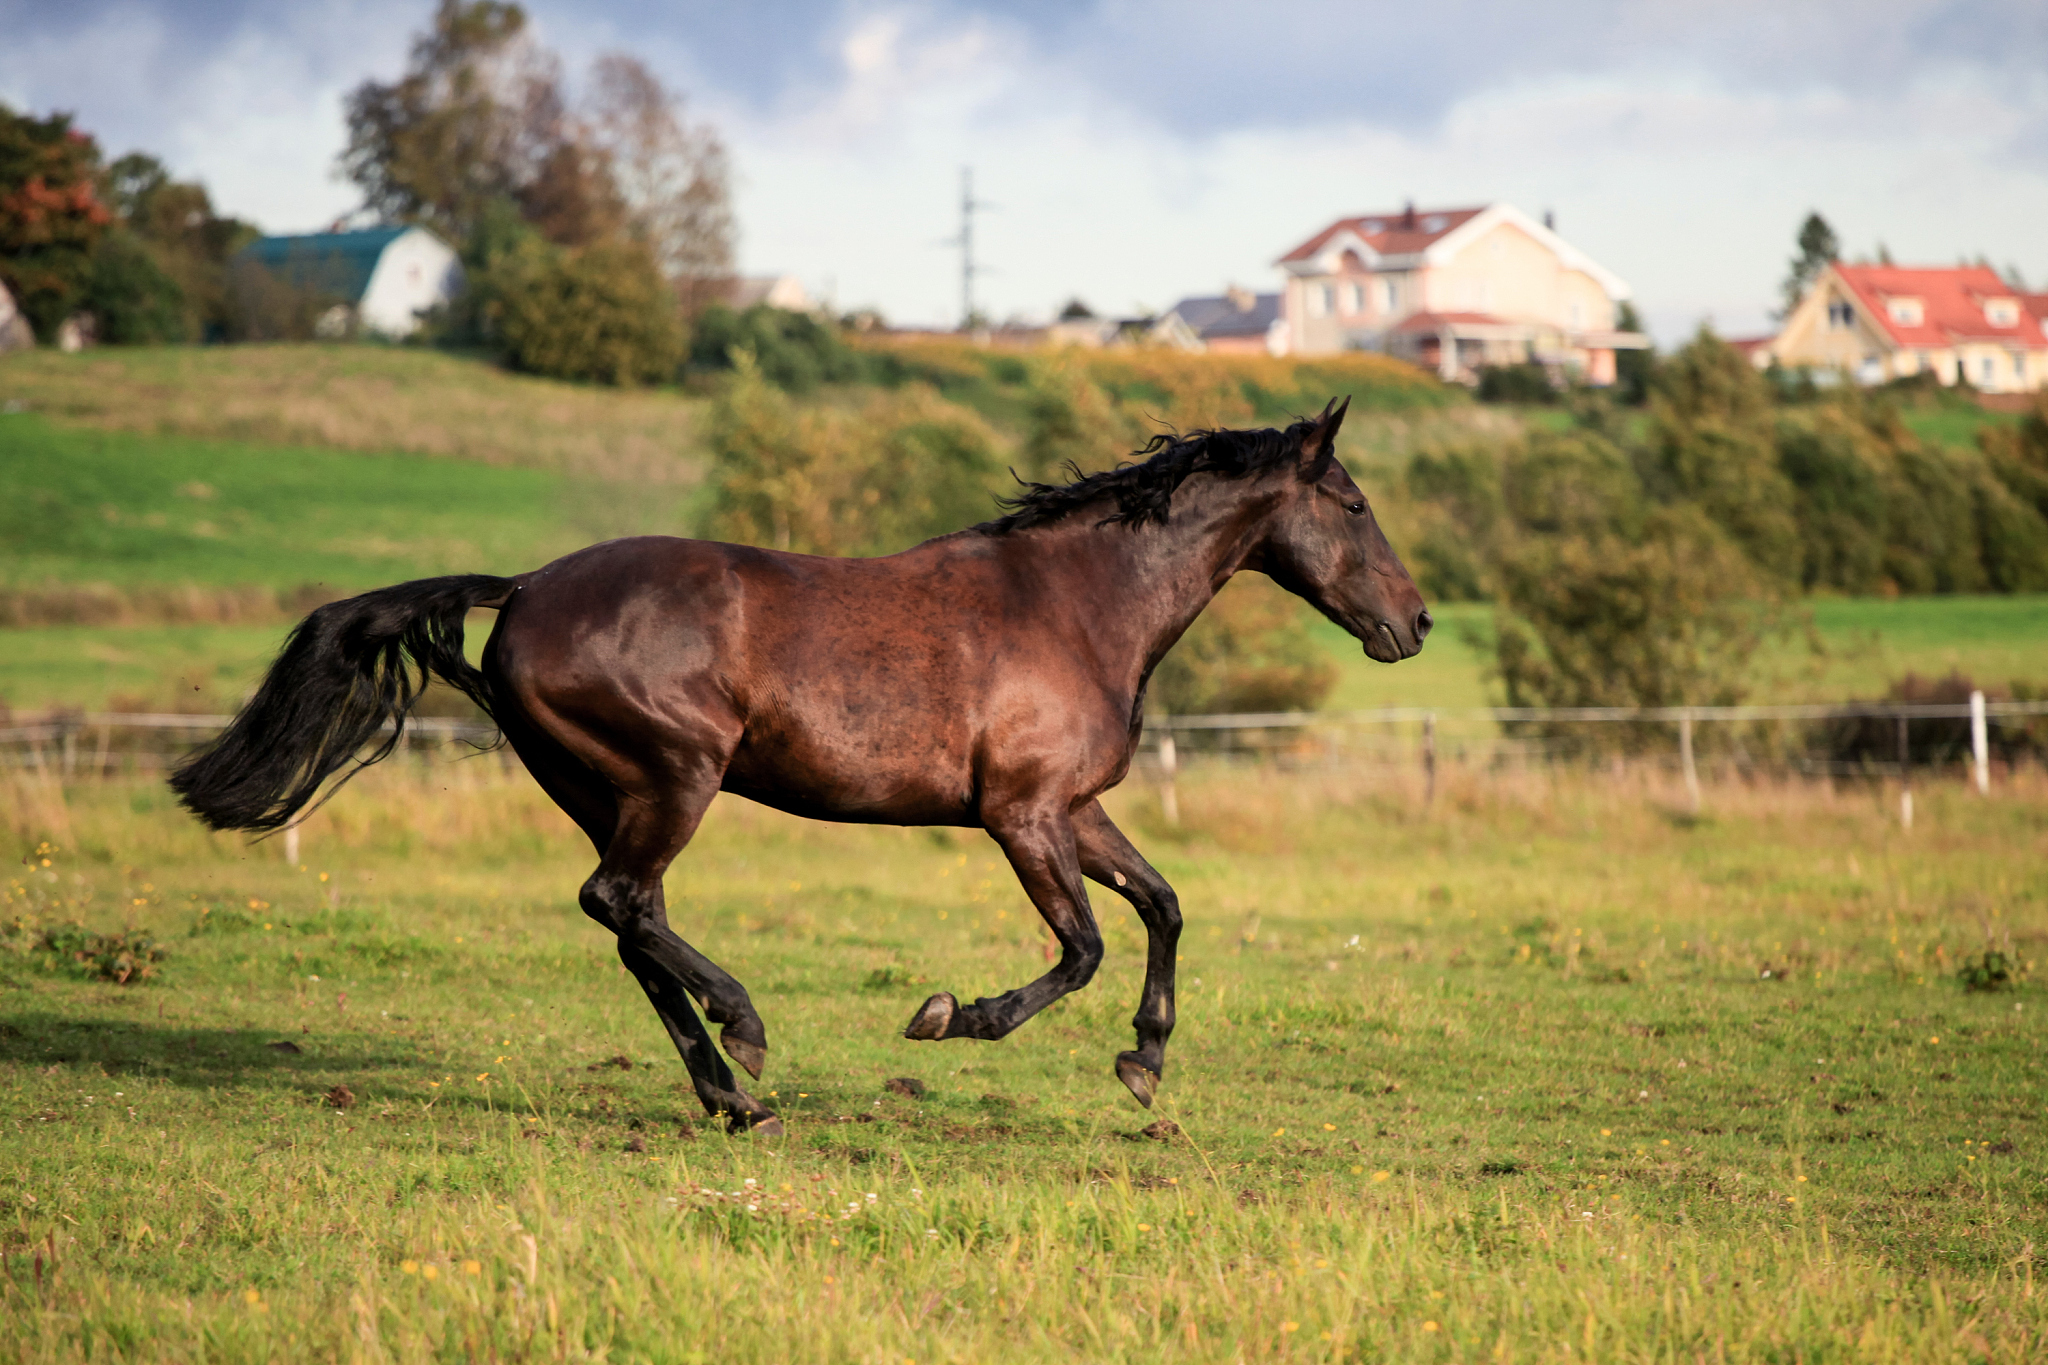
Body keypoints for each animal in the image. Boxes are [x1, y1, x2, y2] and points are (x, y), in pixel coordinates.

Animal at [169, 398, 1429, 1134]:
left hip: (606, 792)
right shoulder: (1020, 814)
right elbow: (1079, 949)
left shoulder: (1073, 808)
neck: (1078, 607)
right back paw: (746, 1033)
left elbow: (1162, 907)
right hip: (675, 775)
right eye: (1355, 503)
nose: (1412, 625)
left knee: (628, 925)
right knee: (622, 904)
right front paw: (947, 1016)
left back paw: (735, 1100)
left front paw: (1143, 1060)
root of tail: (520, 590)